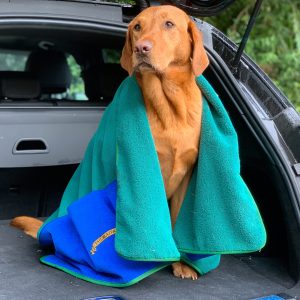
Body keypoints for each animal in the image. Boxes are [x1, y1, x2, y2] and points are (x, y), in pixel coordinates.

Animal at [11, 4, 209, 282]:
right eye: (137, 27)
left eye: (169, 24)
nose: (141, 48)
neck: (169, 106)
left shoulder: (186, 175)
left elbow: (176, 217)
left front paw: (182, 262)